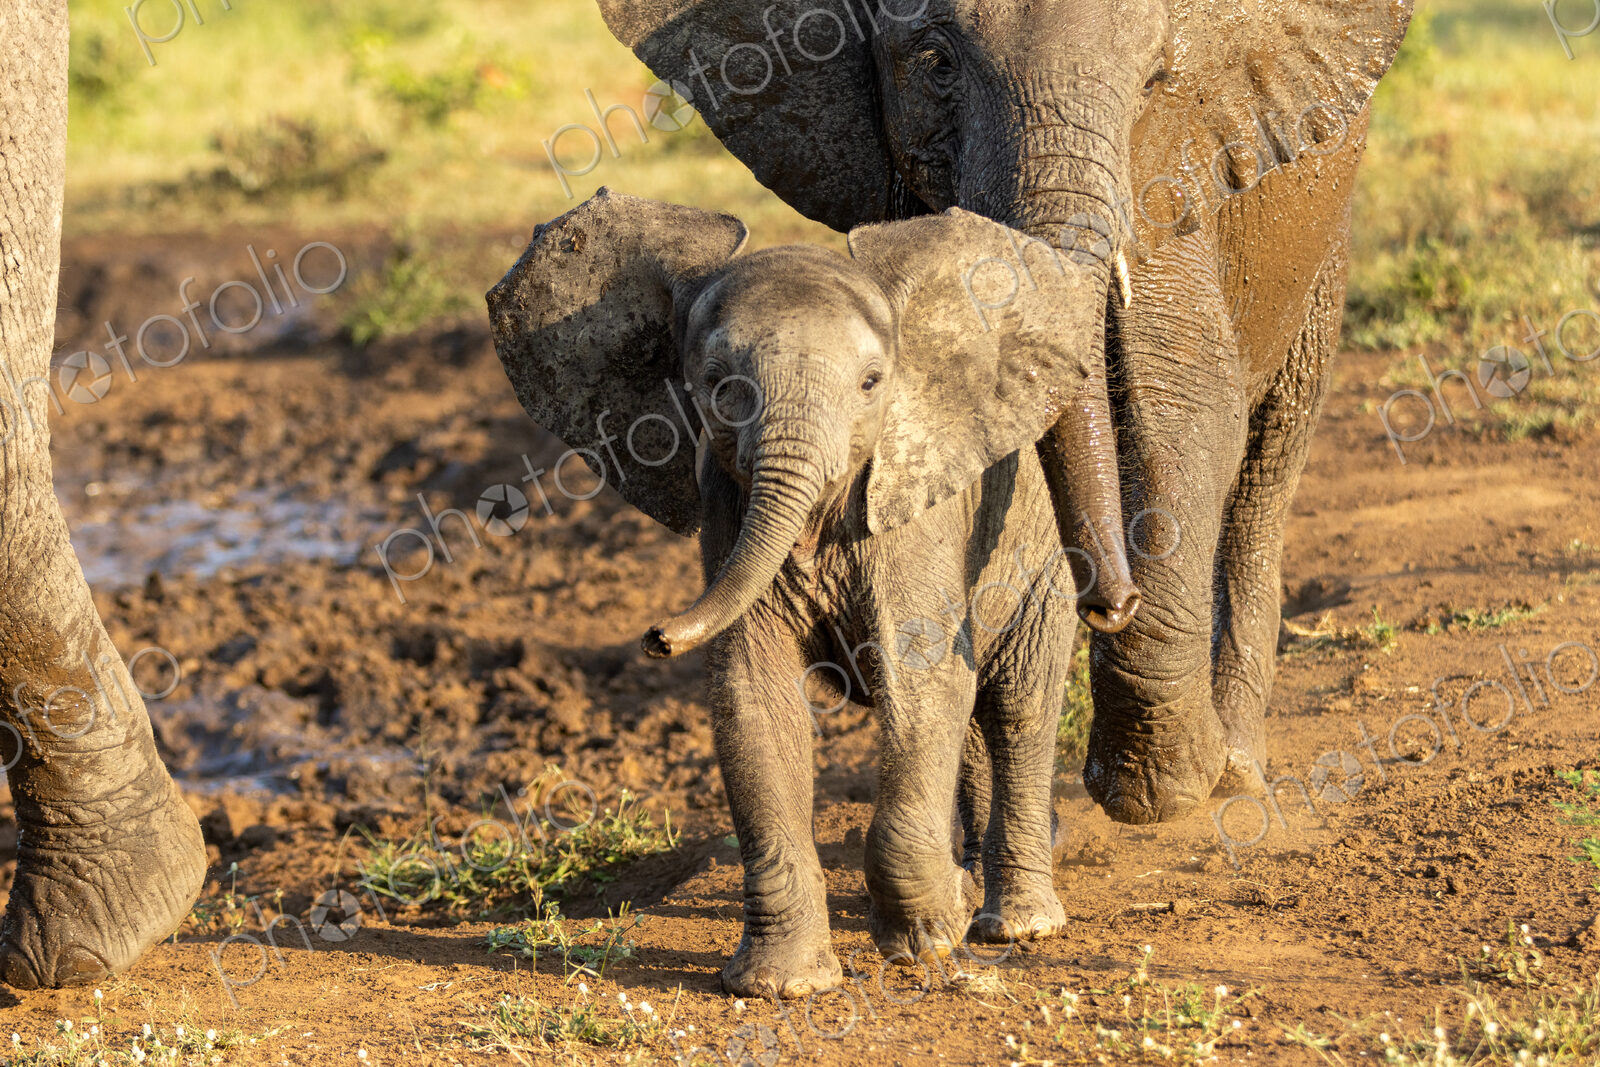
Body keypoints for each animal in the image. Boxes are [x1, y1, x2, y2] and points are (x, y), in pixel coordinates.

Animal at [487, 188, 1126, 995]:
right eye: (717, 383)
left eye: (871, 383)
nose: (657, 636)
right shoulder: (726, 509)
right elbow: (753, 696)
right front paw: (782, 984)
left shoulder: (912, 512)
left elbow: (920, 679)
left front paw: (927, 943)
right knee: (981, 712)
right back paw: (969, 890)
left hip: (1043, 553)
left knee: (1016, 703)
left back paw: (1016, 924)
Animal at [593, 0, 1415, 824]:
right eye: (937, 65)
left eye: (1157, 82)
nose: (1109, 602)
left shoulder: (1170, 178)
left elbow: (1184, 401)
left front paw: (1158, 789)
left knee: (1271, 457)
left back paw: (1237, 773)